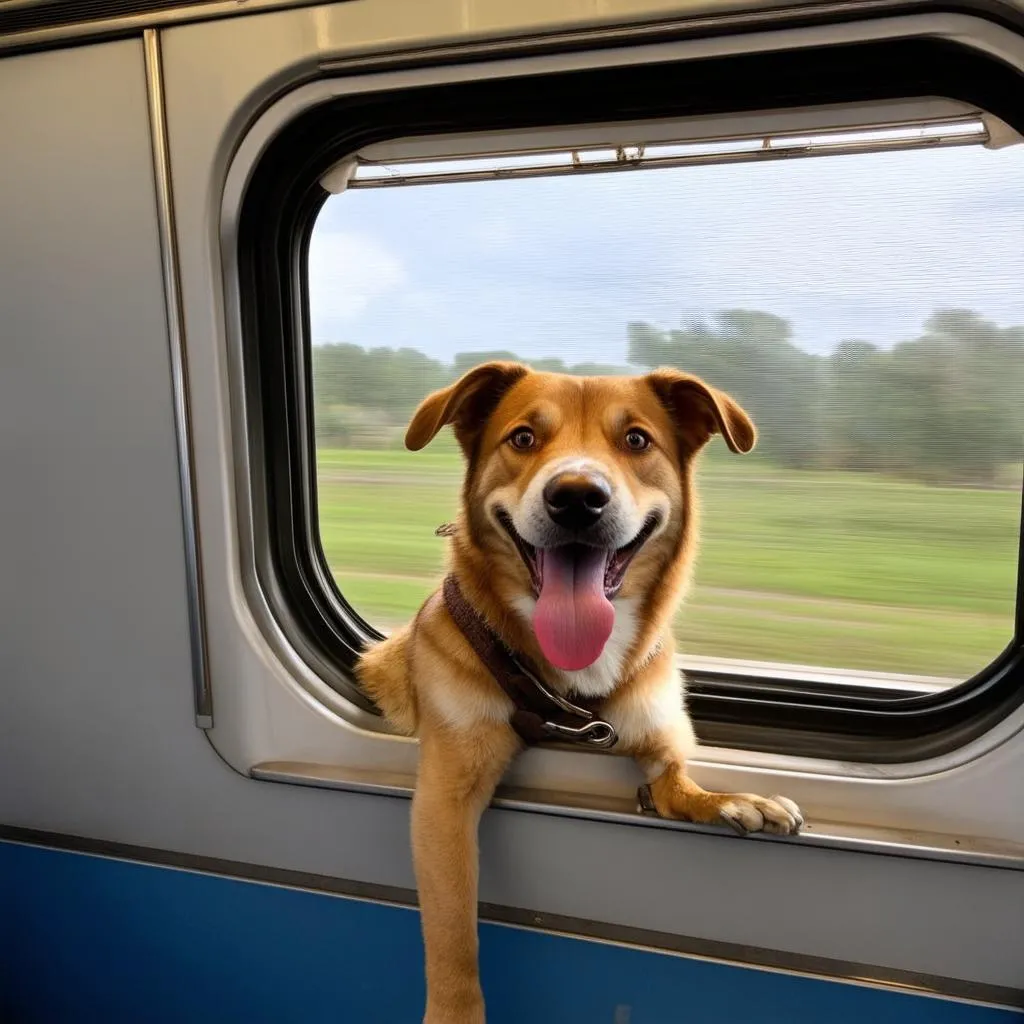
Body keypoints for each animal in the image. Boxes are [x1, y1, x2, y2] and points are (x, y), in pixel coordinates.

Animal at [356, 364, 802, 1024]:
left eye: (637, 440)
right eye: (522, 437)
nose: (575, 495)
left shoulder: (653, 731)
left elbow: (675, 781)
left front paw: (727, 799)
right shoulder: (446, 796)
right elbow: (453, 931)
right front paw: (456, 1009)